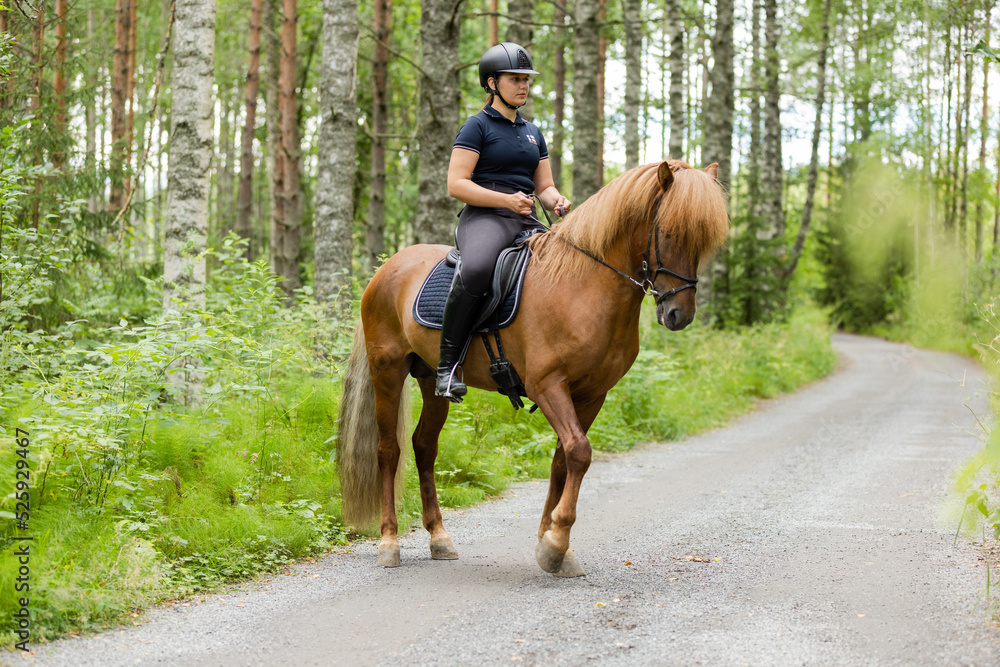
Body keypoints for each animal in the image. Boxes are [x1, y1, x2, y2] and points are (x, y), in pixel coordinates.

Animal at [336, 160, 729, 576]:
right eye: (669, 233)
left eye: (703, 242)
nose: (679, 315)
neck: (582, 285)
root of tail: (385, 270)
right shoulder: (547, 385)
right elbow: (579, 452)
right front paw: (555, 544)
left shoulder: (591, 394)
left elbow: (563, 460)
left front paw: (552, 542)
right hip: (387, 371)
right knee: (388, 451)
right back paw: (389, 542)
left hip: (431, 380)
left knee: (424, 446)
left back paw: (439, 538)